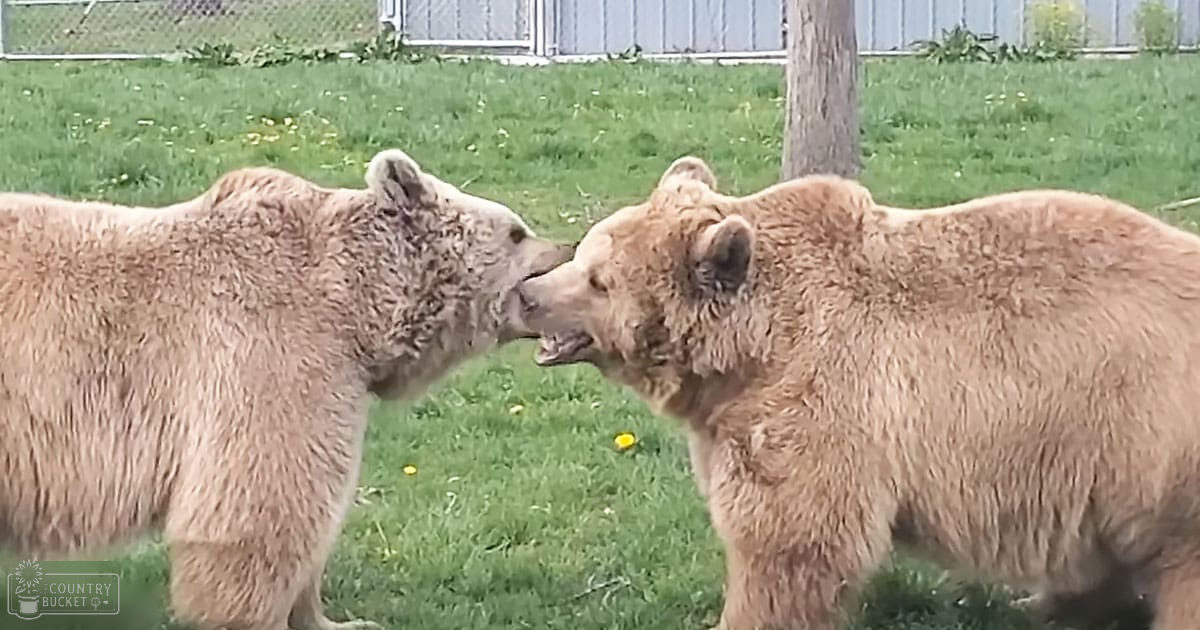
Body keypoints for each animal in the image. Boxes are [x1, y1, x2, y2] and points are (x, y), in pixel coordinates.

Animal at [0, 148, 572, 630]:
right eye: (516, 232)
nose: (564, 251)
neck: (356, 307)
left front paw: (336, 619)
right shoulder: (269, 350)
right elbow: (266, 506)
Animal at [516, 155, 1200, 630]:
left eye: (600, 280)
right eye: (587, 251)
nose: (528, 293)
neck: (745, 356)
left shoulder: (823, 402)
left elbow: (791, 543)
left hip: (1154, 447)